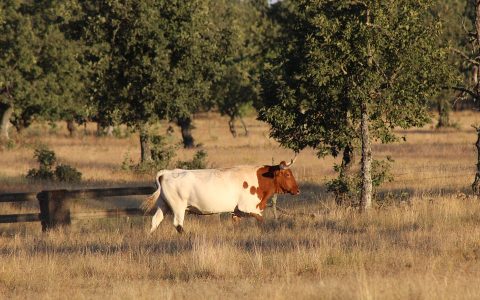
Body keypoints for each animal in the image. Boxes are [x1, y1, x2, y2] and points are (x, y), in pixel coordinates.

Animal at [142, 158, 300, 233]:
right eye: (287, 174)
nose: (297, 190)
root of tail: (168, 172)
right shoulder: (248, 207)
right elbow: (262, 220)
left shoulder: (236, 212)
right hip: (178, 207)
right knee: (178, 224)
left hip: (164, 205)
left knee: (155, 221)